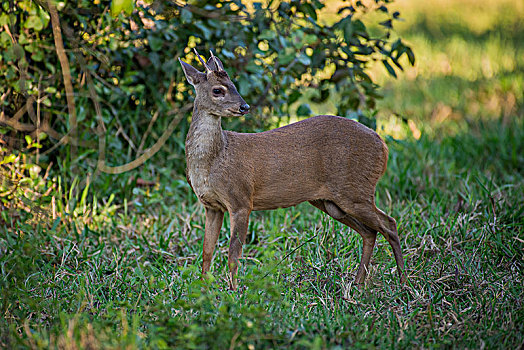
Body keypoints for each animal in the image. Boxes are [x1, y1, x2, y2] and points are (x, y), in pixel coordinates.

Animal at [179, 48, 406, 290]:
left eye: (234, 85)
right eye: (217, 90)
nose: (244, 107)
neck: (214, 160)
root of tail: (383, 146)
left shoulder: (241, 200)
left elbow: (233, 255)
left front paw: (233, 291)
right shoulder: (211, 206)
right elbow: (207, 252)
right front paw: (202, 289)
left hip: (355, 190)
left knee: (389, 224)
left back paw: (403, 282)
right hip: (332, 202)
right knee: (370, 231)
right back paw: (357, 283)